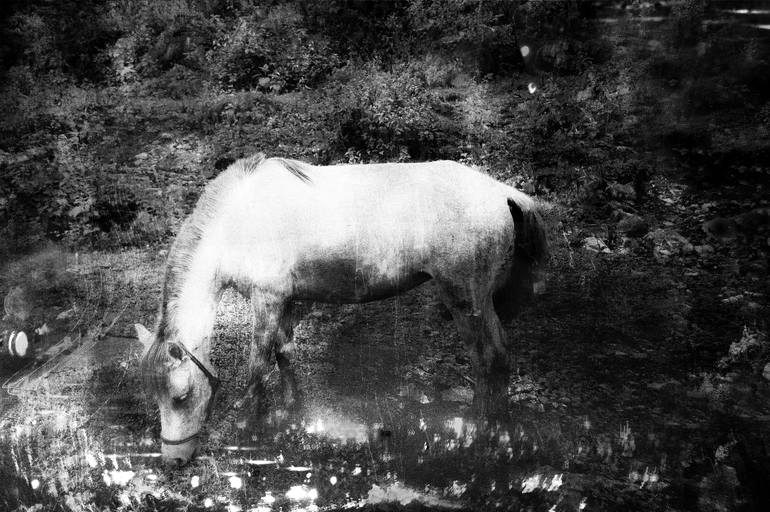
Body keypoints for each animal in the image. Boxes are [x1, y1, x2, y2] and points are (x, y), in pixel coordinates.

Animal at [136, 154, 544, 466]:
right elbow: (285, 354)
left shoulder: (267, 300)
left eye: (180, 396)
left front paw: (248, 427)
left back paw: (481, 432)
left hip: (465, 300)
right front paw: (292, 414)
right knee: (496, 356)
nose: (173, 460)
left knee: (488, 357)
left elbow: (258, 364)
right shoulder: (285, 301)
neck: (241, 220)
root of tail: (503, 193)